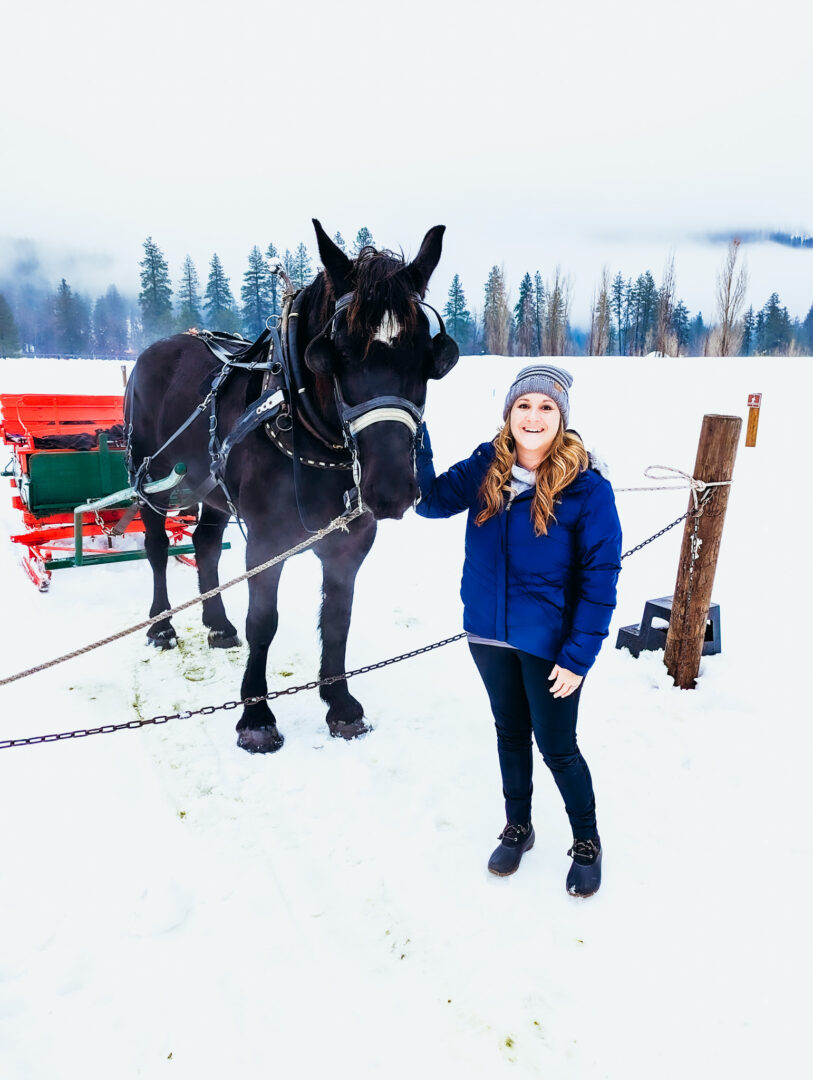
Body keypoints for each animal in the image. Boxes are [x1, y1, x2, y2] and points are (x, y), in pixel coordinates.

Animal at [125, 220, 459, 753]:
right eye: (336, 352)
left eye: (427, 355)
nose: (389, 489)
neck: (308, 424)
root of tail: (159, 348)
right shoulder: (265, 541)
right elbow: (263, 622)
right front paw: (256, 715)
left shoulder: (351, 542)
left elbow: (338, 618)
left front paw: (340, 703)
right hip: (149, 476)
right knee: (157, 546)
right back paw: (161, 625)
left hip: (211, 488)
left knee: (204, 544)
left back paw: (216, 623)